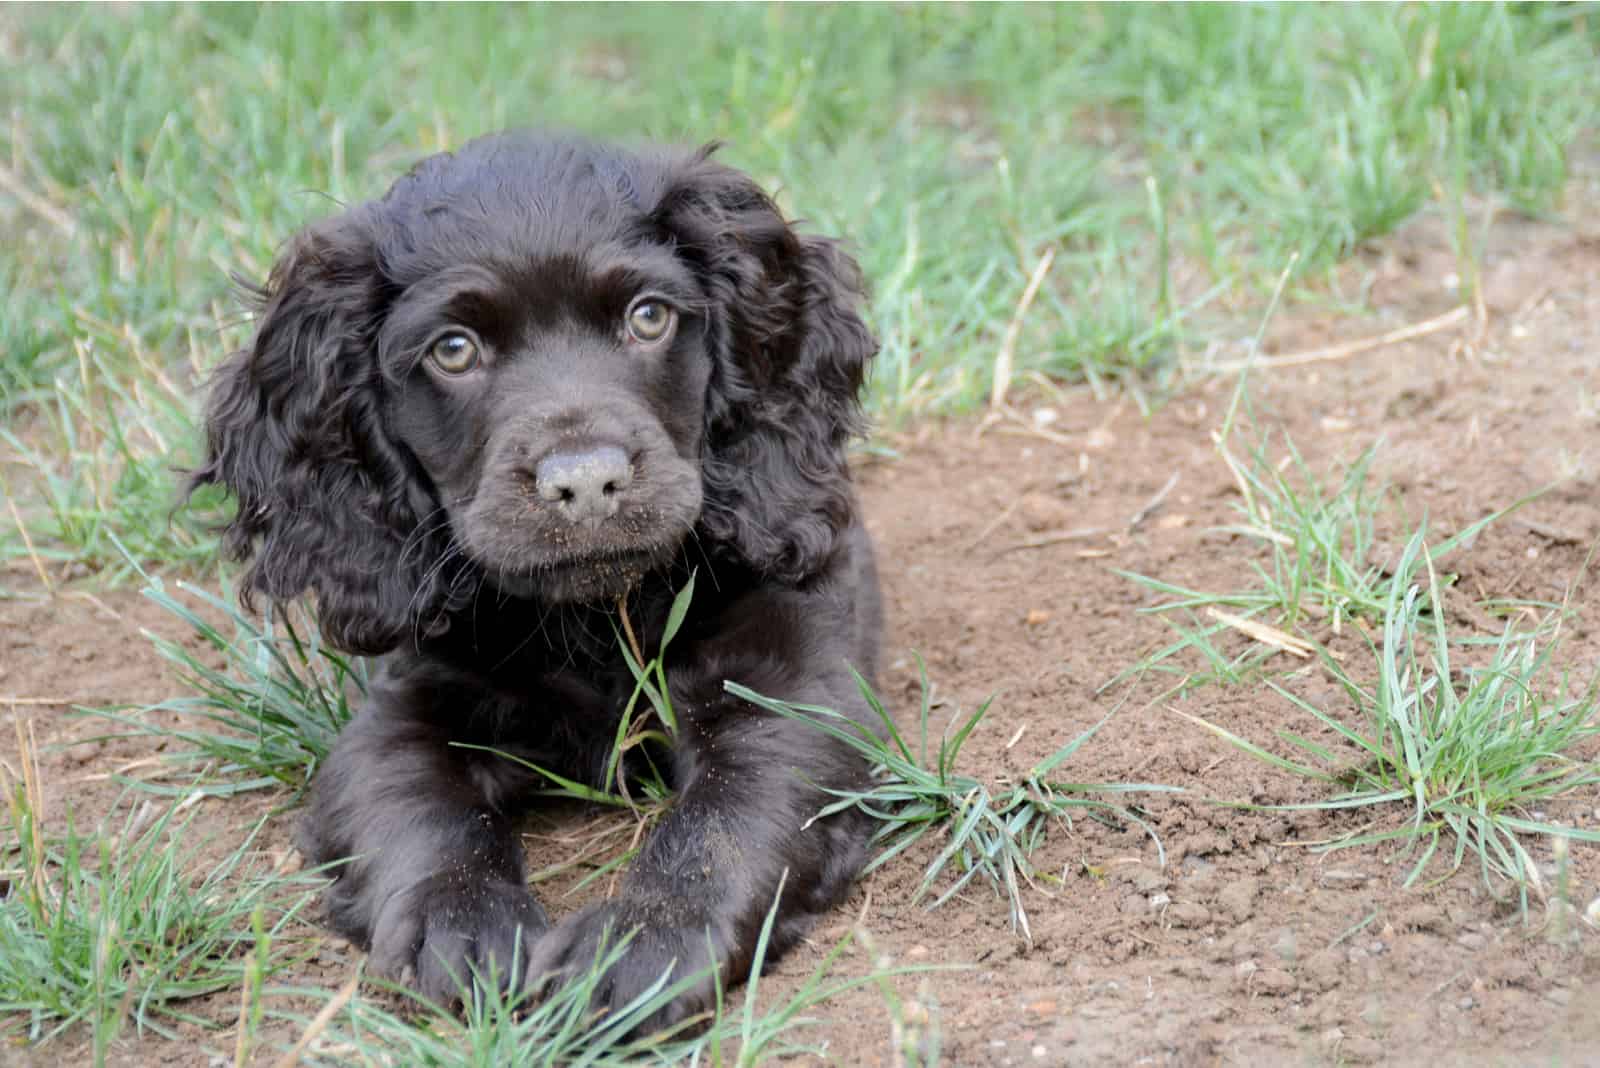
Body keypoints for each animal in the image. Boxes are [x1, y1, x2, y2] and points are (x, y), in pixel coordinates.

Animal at [196, 129, 889, 1029]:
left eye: (649, 316)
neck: (595, 615)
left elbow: (725, 819)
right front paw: (459, 922)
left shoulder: (789, 687)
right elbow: (419, 807)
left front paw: (640, 947)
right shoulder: (401, 710)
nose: (586, 481)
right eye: (454, 350)